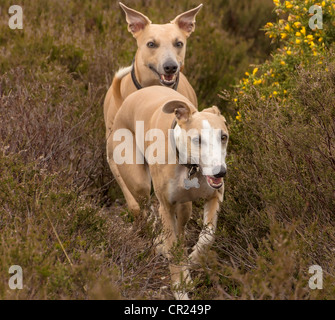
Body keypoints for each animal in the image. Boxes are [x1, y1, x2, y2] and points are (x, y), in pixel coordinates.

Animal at [109, 85, 230, 300]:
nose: (220, 172)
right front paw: (179, 290)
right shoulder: (165, 206)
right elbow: (173, 248)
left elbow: (207, 237)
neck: (190, 166)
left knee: (180, 230)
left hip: (184, 207)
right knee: (147, 210)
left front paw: (193, 259)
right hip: (139, 183)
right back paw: (160, 243)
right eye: (197, 140)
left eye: (223, 137)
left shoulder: (215, 196)